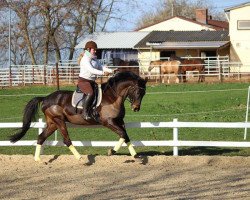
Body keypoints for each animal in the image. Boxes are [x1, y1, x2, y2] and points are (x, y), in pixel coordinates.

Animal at [9, 72, 147, 162]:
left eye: (144, 93)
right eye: (138, 91)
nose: (136, 108)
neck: (112, 97)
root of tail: (45, 98)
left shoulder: (119, 121)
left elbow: (125, 136)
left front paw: (135, 156)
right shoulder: (108, 122)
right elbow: (122, 134)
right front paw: (111, 152)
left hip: (52, 123)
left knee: (41, 137)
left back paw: (37, 159)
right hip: (59, 121)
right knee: (66, 140)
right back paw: (79, 157)